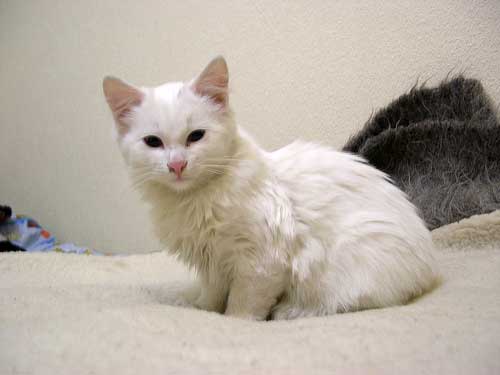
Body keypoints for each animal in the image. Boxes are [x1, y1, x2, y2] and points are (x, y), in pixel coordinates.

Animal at [104, 57, 438, 322]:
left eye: (196, 136)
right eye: (153, 142)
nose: (177, 165)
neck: (194, 200)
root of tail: (430, 266)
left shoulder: (262, 261)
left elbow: (242, 305)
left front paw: (234, 321)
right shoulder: (213, 263)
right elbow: (212, 296)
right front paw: (201, 309)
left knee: (344, 302)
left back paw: (291, 311)